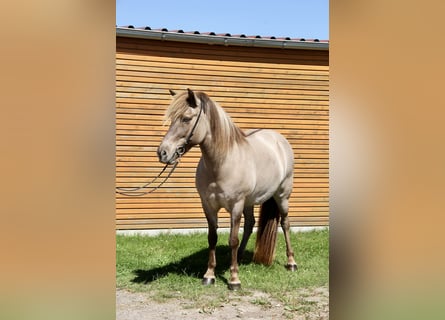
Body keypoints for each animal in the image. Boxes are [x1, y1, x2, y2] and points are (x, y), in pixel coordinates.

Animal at [158, 88, 296, 290]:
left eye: (186, 118)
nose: (163, 152)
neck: (222, 163)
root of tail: (279, 140)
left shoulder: (235, 206)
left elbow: (232, 239)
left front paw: (234, 279)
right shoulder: (208, 206)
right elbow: (212, 238)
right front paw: (209, 275)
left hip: (282, 196)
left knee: (285, 224)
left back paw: (291, 262)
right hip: (249, 201)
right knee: (250, 224)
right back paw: (239, 257)